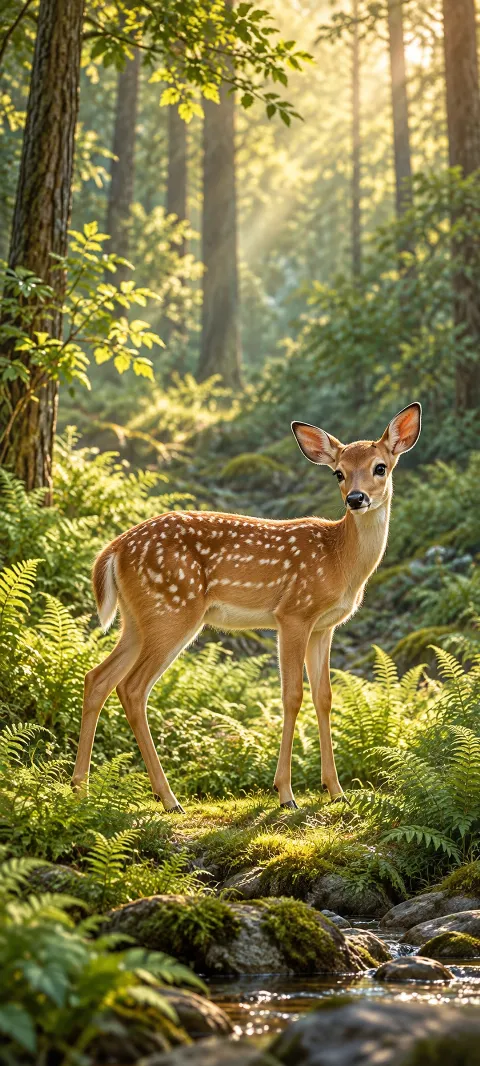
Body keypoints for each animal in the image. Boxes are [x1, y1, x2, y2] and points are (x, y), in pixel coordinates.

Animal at [72, 402, 421, 812]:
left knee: (97, 678)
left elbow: (324, 698)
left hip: (137, 619)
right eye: (339, 472)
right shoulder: (293, 614)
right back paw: (168, 798)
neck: (340, 560)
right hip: (173, 609)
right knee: (132, 688)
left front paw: (337, 791)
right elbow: (291, 696)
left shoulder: (324, 626)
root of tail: (114, 549)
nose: (355, 498)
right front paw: (285, 794)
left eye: (380, 467)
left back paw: (81, 789)